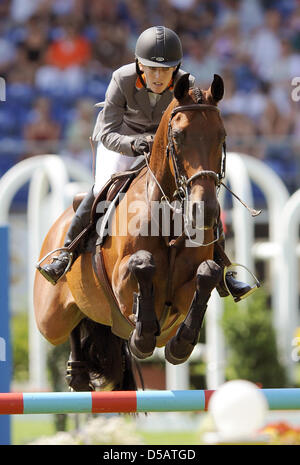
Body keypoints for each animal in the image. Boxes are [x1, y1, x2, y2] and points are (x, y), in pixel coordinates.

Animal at [33, 73, 225, 392]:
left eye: (221, 136)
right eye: (178, 136)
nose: (204, 211)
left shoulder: (185, 294)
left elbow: (207, 273)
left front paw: (180, 345)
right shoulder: (119, 280)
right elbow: (141, 264)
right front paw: (142, 337)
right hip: (50, 318)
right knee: (70, 323)